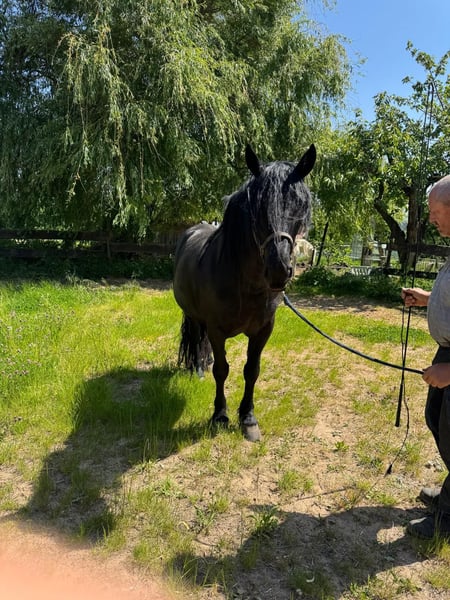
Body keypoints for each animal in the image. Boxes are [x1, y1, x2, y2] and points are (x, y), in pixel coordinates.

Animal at [173, 143, 316, 441]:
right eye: (257, 210)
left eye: (299, 207)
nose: (279, 269)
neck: (246, 286)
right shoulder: (216, 330)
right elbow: (222, 370)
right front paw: (220, 415)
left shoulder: (263, 330)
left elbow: (252, 370)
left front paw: (248, 418)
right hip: (193, 315)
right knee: (197, 338)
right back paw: (198, 368)